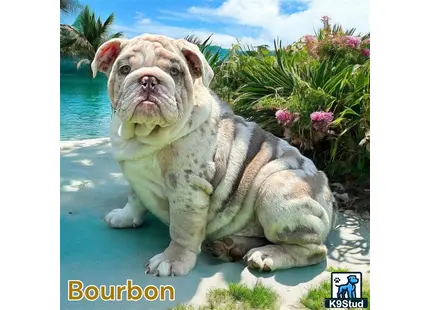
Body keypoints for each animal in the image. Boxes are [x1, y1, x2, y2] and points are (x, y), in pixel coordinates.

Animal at [90, 34, 336, 276]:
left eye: (175, 72)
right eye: (124, 69)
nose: (148, 79)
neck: (145, 134)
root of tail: (327, 191)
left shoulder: (186, 188)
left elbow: (182, 229)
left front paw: (172, 260)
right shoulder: (135, 175)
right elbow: (134, 198)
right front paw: (125, 216)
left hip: (275, 191)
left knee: (313, 249)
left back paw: (267, 255)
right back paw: (233, 246)